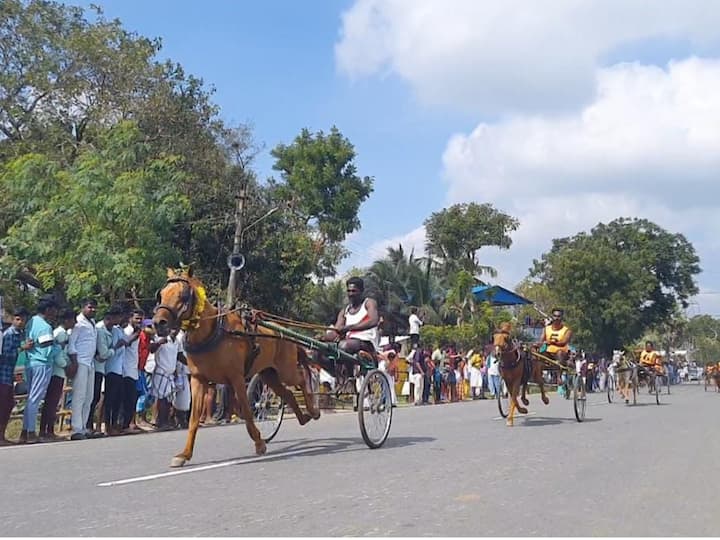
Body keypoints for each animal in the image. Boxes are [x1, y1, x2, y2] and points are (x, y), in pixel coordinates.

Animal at [153, 268, 320, 466]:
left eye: (183, 295)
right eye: (161, 295)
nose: (158, 322)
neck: (212, 332)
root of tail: (285, 333)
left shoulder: (236, 378)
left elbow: (247, 411)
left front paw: (259, 443)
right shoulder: (198, 379)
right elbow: (193, 419)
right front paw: (184, 454)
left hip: (286, 370)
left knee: (301, 378)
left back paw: (313, 410)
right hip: (269, 374)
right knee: (286, 393)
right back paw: (303, 417)